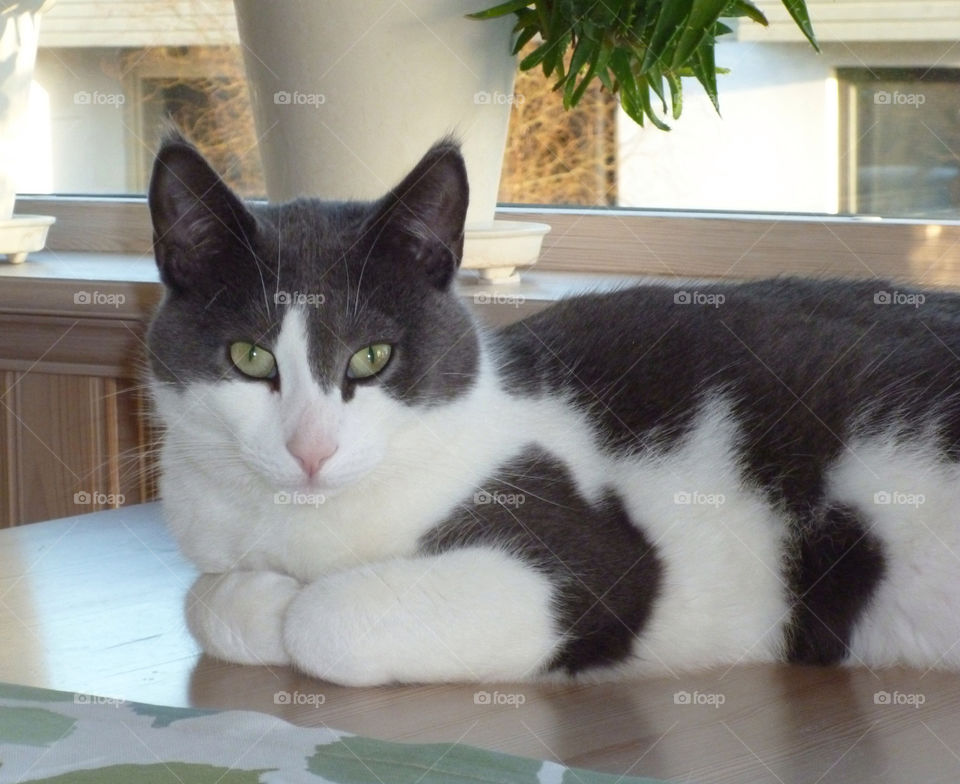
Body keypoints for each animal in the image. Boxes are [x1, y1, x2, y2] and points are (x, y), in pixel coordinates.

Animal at [146, 132, 960, 684]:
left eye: (372, 357)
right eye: (250, 356)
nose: (310, 450)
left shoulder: (590, 561)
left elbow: (321, 621)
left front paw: (287, 607)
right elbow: (199, 601)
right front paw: (256, 596)